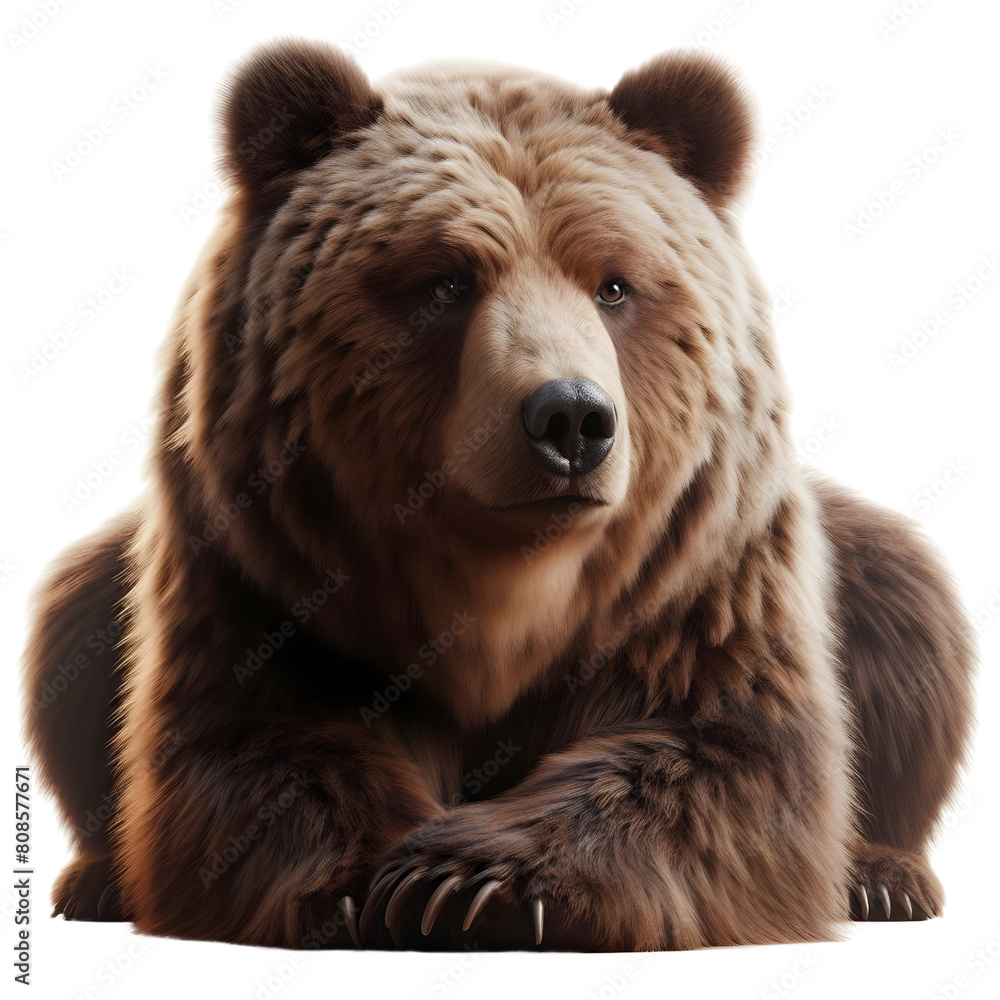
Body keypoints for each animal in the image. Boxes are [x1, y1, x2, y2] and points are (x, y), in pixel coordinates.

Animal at [22, 39, 975, 951]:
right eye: (444, 281)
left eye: (615, 283)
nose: (572, 418)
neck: (507, 594)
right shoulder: (263, 576)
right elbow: (254, 749)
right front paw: (373, 878)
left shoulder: (696, 591)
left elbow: (719, 756)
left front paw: (462, 882)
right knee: (72, 621)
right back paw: (97, 880)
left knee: (908, 608)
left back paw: (883, 877)